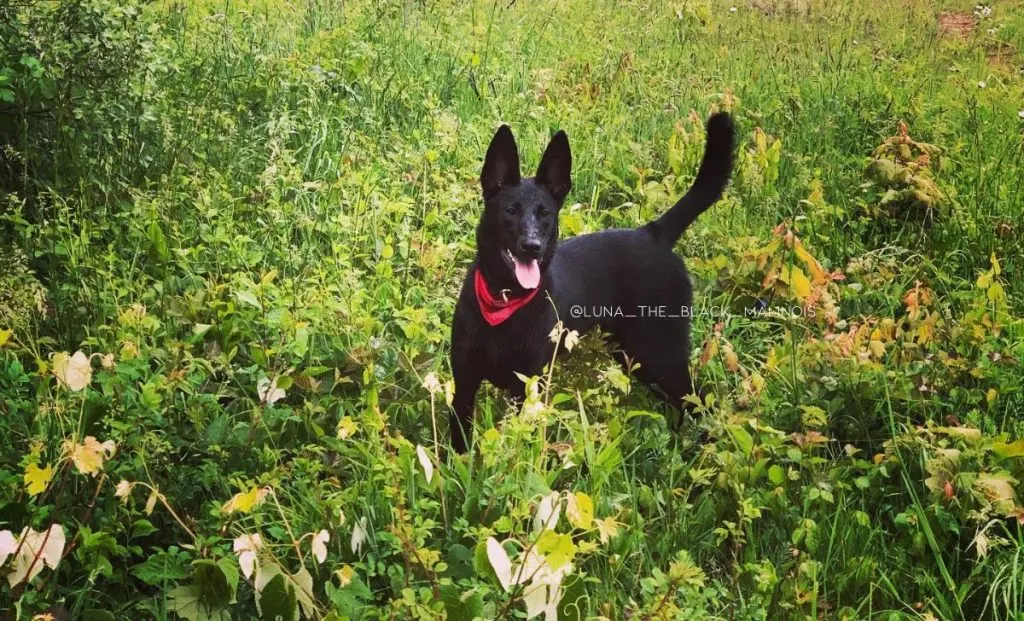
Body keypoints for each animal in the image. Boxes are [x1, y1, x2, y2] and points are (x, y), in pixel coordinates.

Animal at [450, 111, 737, 454]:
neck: (504, 301)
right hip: (635, 356)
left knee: (700, 401)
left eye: (545, 213)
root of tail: (654, 234)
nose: (532, 246)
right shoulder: (464, 382)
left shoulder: (527, 386)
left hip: (659, 354)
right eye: (510, 210)